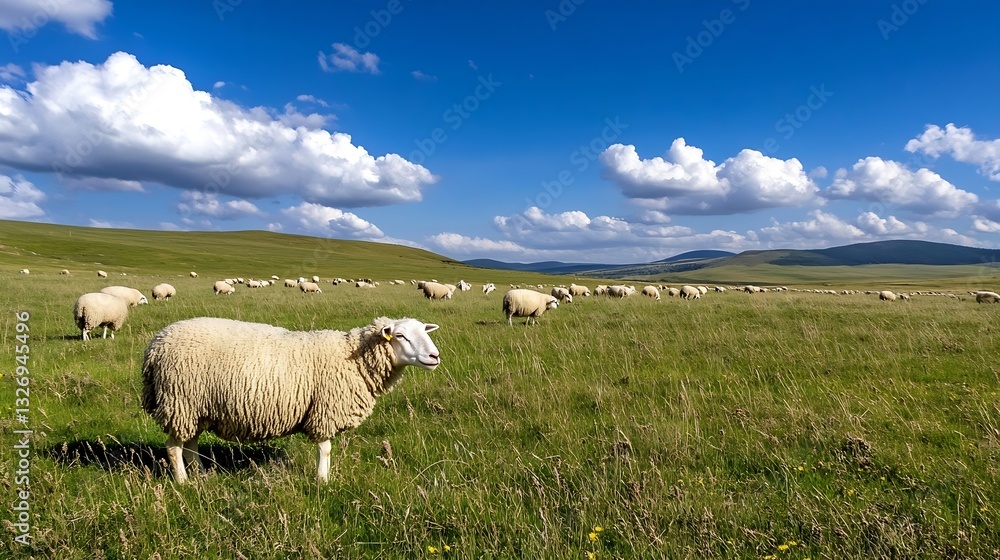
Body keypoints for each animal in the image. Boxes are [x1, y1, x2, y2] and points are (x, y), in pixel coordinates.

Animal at [141, 316, 441, 484]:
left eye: (425, 332)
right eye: (400, 335)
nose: (435, 356)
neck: (353, 359)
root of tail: (155, 346)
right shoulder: (324, 409)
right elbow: (326, 449)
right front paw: (323, 480)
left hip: (193, 407)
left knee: (190, 443)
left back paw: (200, 473)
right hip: (180, 399)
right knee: (173, 447)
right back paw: (183, 482)